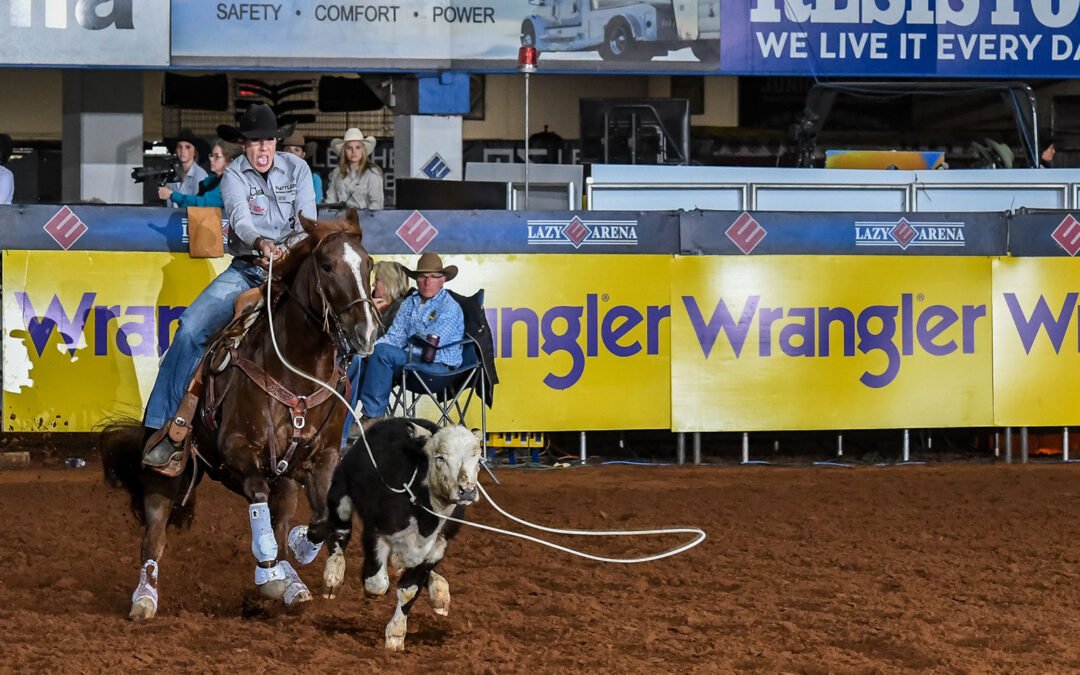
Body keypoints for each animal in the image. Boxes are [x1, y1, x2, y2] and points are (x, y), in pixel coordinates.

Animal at [100, 208, 379, 619]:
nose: (366, 332)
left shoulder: (323, 457)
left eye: (369, 264)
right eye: (327, 265)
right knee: (154, 537)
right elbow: (258, 500)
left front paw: (304, 556)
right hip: (167, 473)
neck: (296, 371)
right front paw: (270, 576)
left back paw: (293, 582)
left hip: (286, 482)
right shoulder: (238, 449)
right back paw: (144, 598)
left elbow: (322, 518)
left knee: (281, 518)